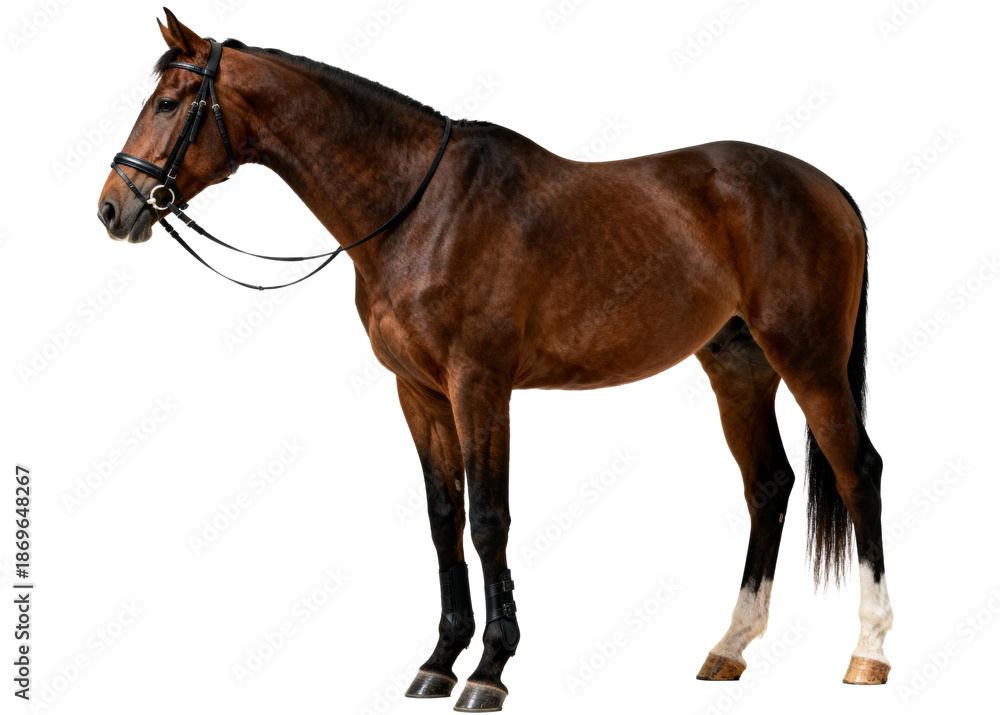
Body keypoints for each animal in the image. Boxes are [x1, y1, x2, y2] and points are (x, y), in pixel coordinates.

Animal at [97, 9, 893, 710]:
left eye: (169, 103)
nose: (113, 208)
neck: (421, 209)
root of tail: (827, 188)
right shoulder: (418, 391)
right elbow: (443, 515)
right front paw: (438, 661)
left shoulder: (479, 385)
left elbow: (487, 519)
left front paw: (490, 671)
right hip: (737, 367)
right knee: (769, 483)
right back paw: (729, 646)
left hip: (810, 359)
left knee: (858, 472)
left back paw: (868, 652)